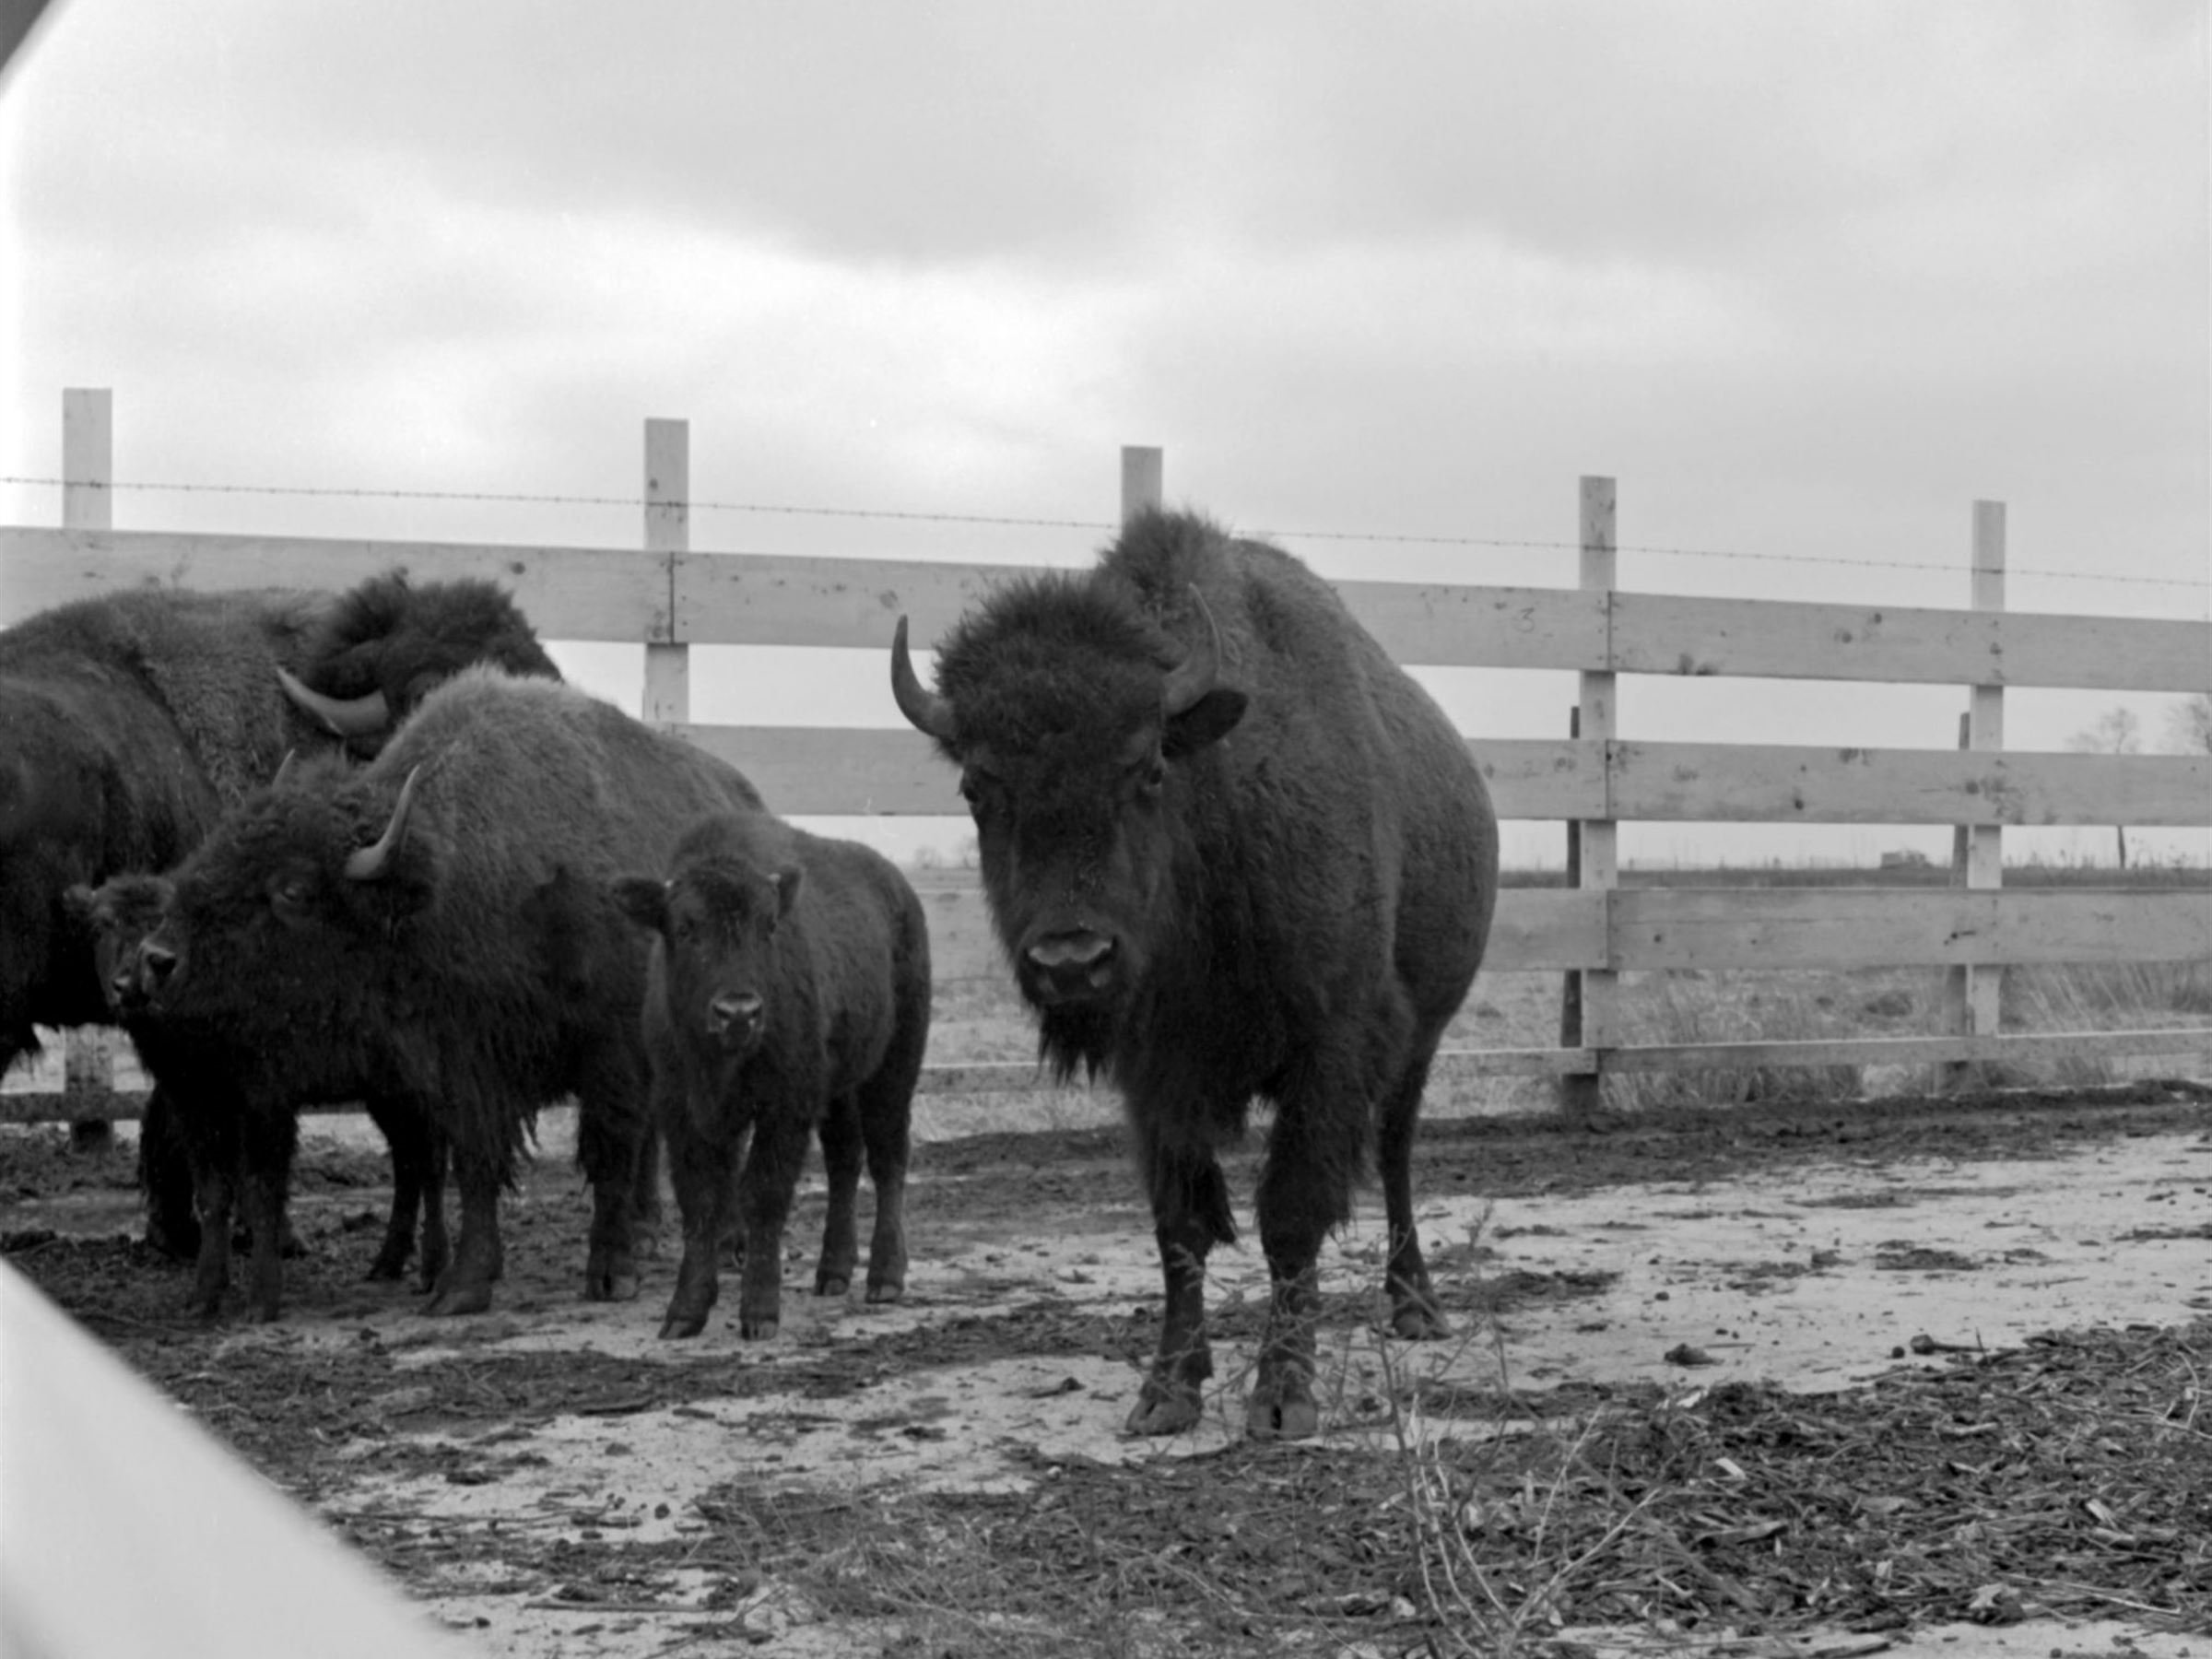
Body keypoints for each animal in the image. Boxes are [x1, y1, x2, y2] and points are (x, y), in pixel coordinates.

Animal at [137, 669, 765, 1318]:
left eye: (293, 890)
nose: (159, 959)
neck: (446, 877)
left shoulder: (610, 1053)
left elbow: (608, 1151)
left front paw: (612, 1274)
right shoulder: (462, 1065)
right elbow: (476, 1165)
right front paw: (462, 1285)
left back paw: (728, 1243)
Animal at [613, 810, 928, 1341]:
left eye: (769, 926)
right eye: (685, 927)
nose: (738, 1012)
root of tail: (900, 889)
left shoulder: (784, 1106)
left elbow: (762, 1194)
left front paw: (759, 1312)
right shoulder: (682, 1109)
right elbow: (701, 1198)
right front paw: (685, 1311)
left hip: (893, 1069)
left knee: (888, 1159)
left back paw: (885, 1277)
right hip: (839, 1089)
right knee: (844, 1161)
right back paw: (833, 1271)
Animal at [891, 508, 1498, 1440]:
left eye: (1147, 768)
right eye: (976, 788)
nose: (1072, 960)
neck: (1217, 803)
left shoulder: (1334, 1042)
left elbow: (1290, 1214)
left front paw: (1283, 1398)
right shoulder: (1156, 1074)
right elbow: (1179, 1223)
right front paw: (1168, 1389)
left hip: (1420, 1043)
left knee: (1395, 1157)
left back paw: (1415, 1307)